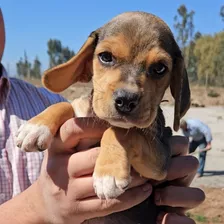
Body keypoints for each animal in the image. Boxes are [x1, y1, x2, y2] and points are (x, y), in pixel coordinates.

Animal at [16, 10, 191, 200]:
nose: (126, 100)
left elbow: (122, 131)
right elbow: (64, 105)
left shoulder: (161, 158)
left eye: (160, 68)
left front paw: (108, 174)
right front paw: (35, 127)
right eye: (106, 57)